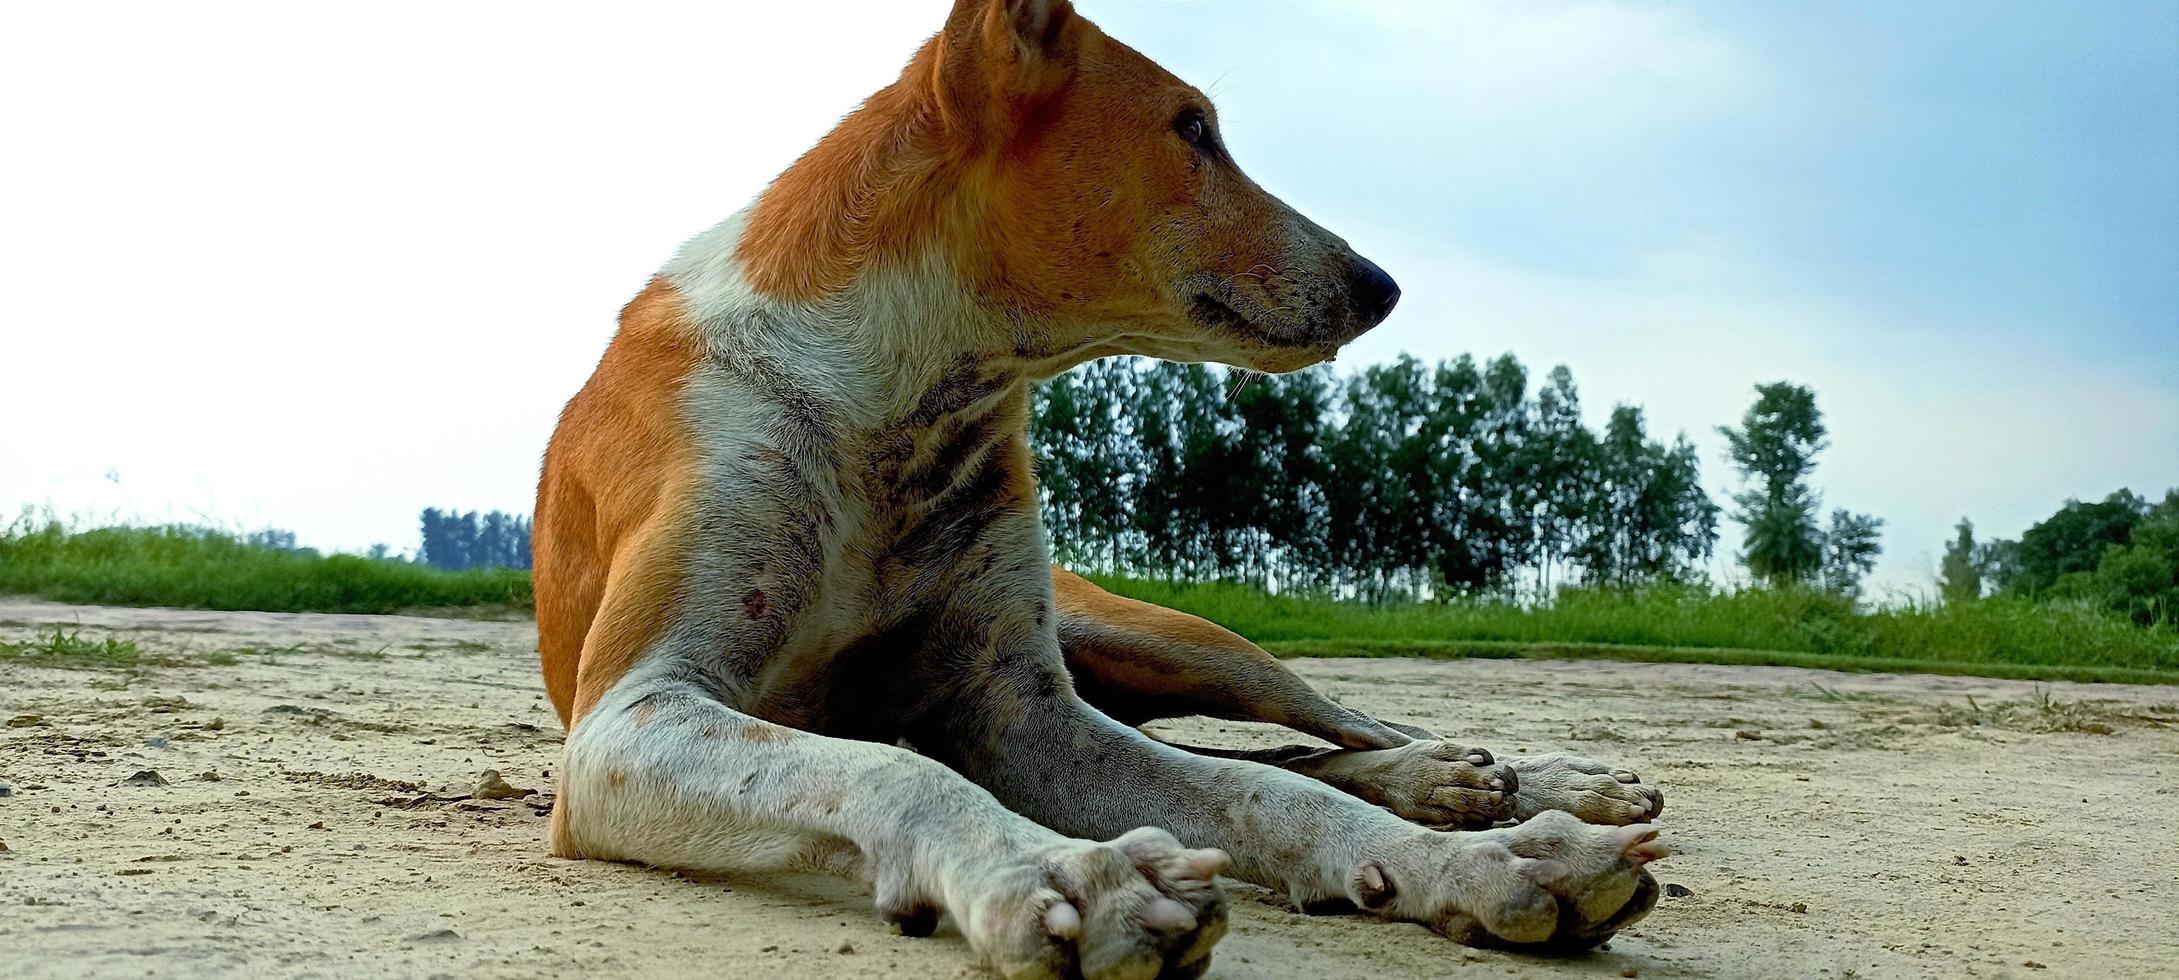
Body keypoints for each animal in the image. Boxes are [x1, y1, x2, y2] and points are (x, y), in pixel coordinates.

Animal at [540, 3, 1664, 975]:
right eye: (1191, 130)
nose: (1379, 286)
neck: (890, 389)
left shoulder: (1027, 719)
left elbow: (1255, 787)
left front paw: (1489, 862)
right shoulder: (631, 719)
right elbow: (894, 765)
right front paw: (1059, 872)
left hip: (1173, 643)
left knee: (1333, 730)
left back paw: (1520, 785)